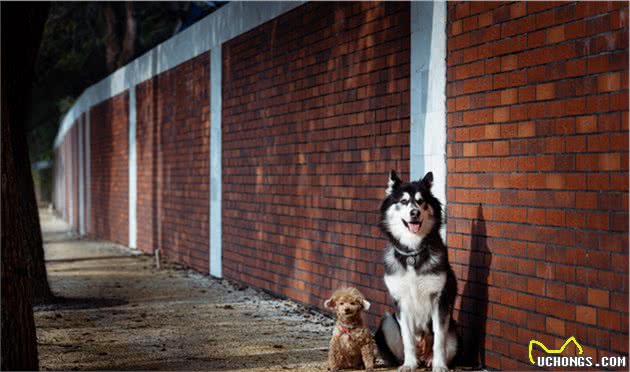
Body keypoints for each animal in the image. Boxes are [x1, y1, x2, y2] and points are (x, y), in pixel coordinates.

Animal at [376, 171, 460, 372]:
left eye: (421, 202)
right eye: (404, 201)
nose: (414, 212)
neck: (413, 252)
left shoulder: (439, 300)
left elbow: (439, 339)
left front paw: (439, 365)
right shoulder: (401, 302)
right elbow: (408, 338)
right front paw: (409, 364)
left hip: (454, 331)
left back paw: (430, 360)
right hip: (387, 320)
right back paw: (413, 361)